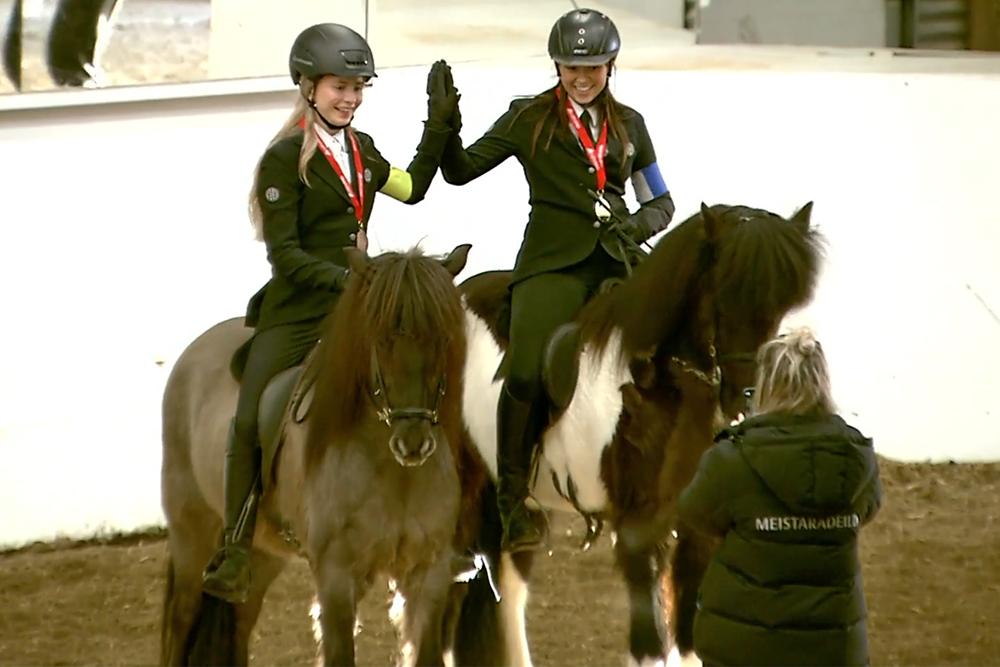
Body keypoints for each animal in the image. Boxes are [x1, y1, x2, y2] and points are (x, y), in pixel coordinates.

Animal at [155, 245, 492, 667]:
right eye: (381, 339)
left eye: (442, 339)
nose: (413, 442)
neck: (393, 471)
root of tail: (194, 350)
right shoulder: (336, 577)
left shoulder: (426, 573)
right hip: (192, 534)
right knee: (182, 620)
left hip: (263, 550)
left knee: (240, 621)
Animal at [450, 202, 824, 667]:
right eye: (725, 293)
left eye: (784, 305)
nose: (747, 397)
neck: (659, 383)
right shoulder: (638, 529)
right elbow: (650, 646)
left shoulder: (697, 534)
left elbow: (689, 641)